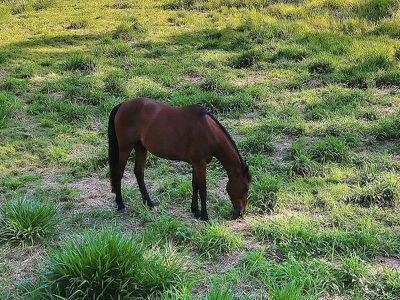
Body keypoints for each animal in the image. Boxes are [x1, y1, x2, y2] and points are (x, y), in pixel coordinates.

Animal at [107, 98, 250, 220]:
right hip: (125, 148)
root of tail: (123, 105)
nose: (241, 213)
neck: (208, 131)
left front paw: (195, 210)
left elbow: (195, 186)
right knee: (119, 173)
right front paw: (205, 216)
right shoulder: (200, 164)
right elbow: (203, 190)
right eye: (246, 188)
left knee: (139, 172)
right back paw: (121, 205)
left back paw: (149, 202)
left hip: (141, 148)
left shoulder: (195, 163)